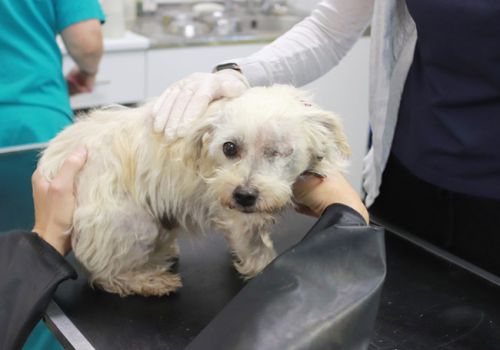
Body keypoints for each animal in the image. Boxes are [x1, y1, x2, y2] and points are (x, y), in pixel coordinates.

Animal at [38, 84, 348, 296]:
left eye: (280, 151)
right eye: (229, 147)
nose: (243, 196)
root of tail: (52, 160)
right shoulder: (238, 218)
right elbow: (257, 252)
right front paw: (264, 272)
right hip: (128, 223)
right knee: (105, 274)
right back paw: (150, 280)